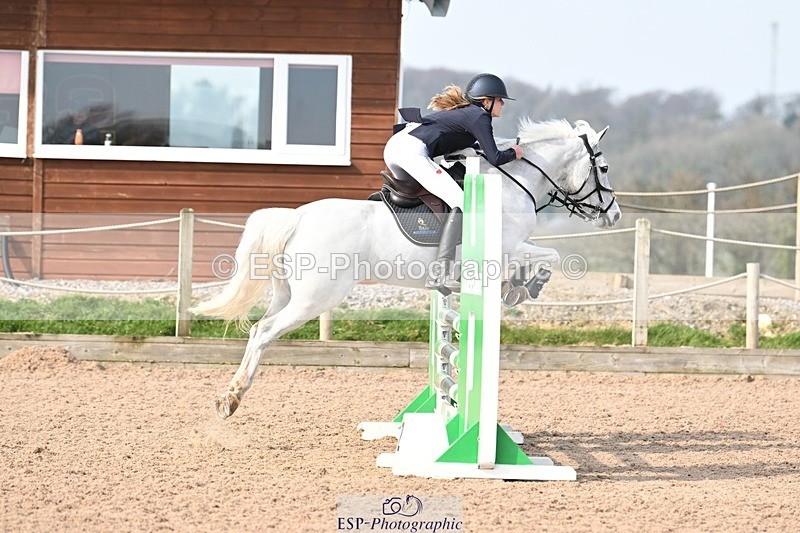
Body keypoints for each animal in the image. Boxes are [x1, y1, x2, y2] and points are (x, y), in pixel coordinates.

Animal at [191, 118, 621, 418]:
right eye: (603, 169)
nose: (614, 215)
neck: (513, 185)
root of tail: (297, 218)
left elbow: (542, 259)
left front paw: (514, 288)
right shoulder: (510, 247)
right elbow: (550, 257)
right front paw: (521, 289)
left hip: (288, 294)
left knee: (257, 331)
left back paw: (228, 397)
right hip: (315, 298)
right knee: (265, 331)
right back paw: (233, 398)